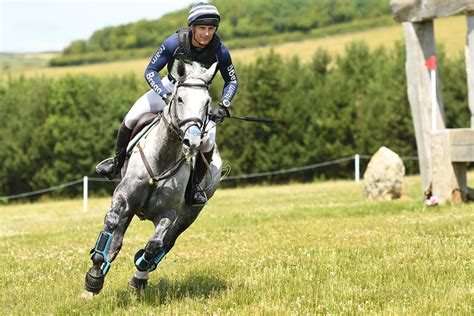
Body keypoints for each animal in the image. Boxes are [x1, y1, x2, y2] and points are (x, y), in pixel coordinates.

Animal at [83, 59, 222, 296]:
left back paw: (141, 274)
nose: (192, 142)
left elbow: (154, 245)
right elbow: (110, 224)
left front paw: (140, 272)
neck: (162, 159)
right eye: (179, 98)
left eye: (207, 103)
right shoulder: (123, 198)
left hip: (190, 213)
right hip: (130, 208)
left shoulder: (168, 213)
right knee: (116, 241)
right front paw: (94, 276)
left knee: (167, 242)